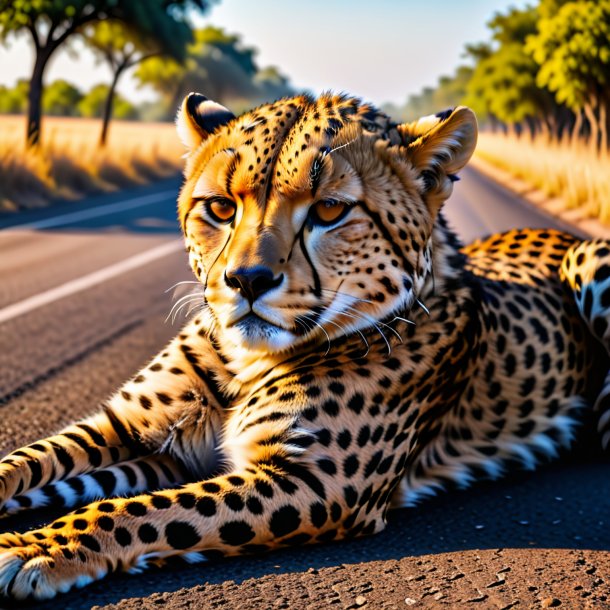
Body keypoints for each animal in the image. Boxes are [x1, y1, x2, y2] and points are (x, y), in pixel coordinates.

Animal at [1, 92, 608, 596]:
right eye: (220, 207)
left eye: (330, 210)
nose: (246, 280)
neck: (245, 362)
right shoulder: (134, 434)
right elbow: (28, 461)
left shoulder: (312, 482)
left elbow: (140, 510)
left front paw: (36, 547)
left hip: (589, 260)